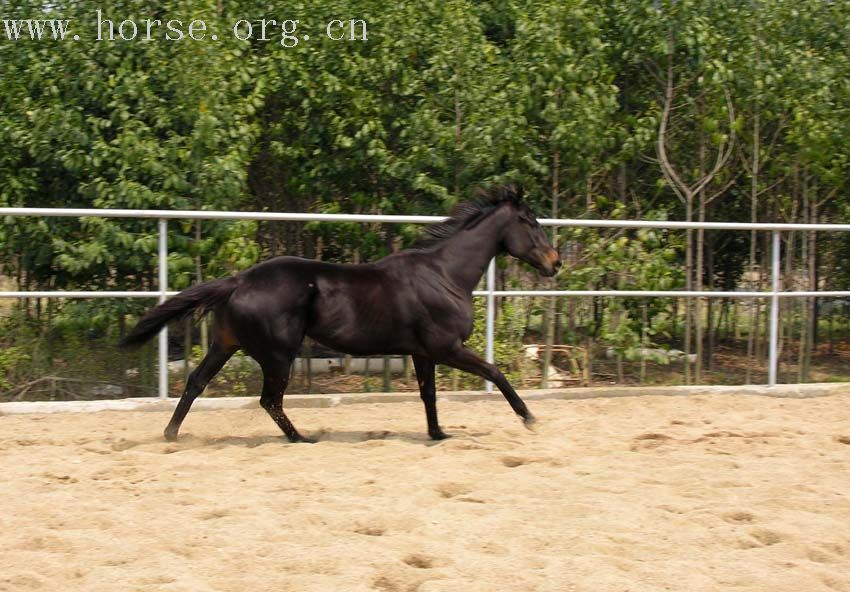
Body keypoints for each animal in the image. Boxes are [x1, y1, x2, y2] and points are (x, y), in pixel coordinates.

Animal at [119, 187, 556, 442]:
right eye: (530, 222)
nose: (555, 263)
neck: (444, 275)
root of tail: (239, 280)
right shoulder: (446, 347)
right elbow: (496, 373)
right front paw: (530, 418)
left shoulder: (422, 353)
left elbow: (428, 394)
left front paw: (439, 434)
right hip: (278, 353)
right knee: (268, 399)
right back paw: (301, 438)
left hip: (226, 344)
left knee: (196, 382)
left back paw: (171, 434)